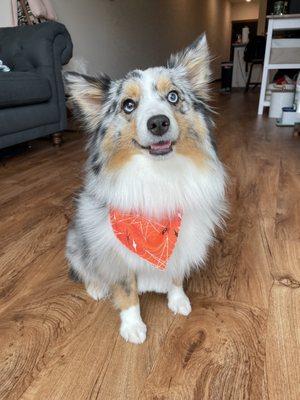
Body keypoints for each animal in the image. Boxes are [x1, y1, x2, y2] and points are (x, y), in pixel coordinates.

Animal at [64, 34, 226, 344]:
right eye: (128, 105)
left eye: (173, 96)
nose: (159, 122)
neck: (158, 175)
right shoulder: (114, 252)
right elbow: (127, 292)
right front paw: (133, 326)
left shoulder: (183, 239)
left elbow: (176, 274)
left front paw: (178, 300)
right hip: (78, 240)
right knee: (86, 269)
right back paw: (96, 287)